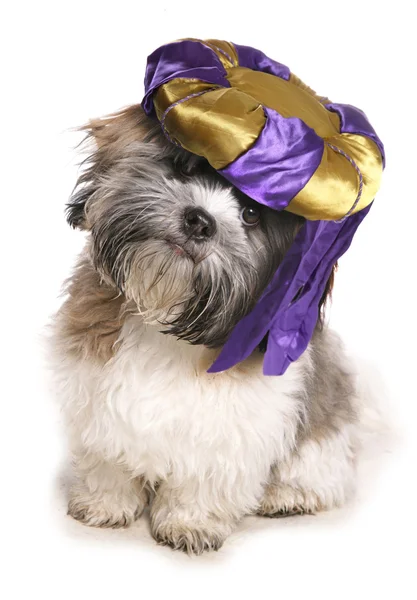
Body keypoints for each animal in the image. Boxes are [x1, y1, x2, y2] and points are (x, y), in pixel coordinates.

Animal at [49, 102, 376, 552]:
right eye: (185, 167)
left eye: (251, 214)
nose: (200, 221)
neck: (168, 316)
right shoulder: (94, 392)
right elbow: (107, 455)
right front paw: (104, 503)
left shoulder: (233, 426)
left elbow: (205, 477)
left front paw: (190, 523)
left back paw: (287, 496)